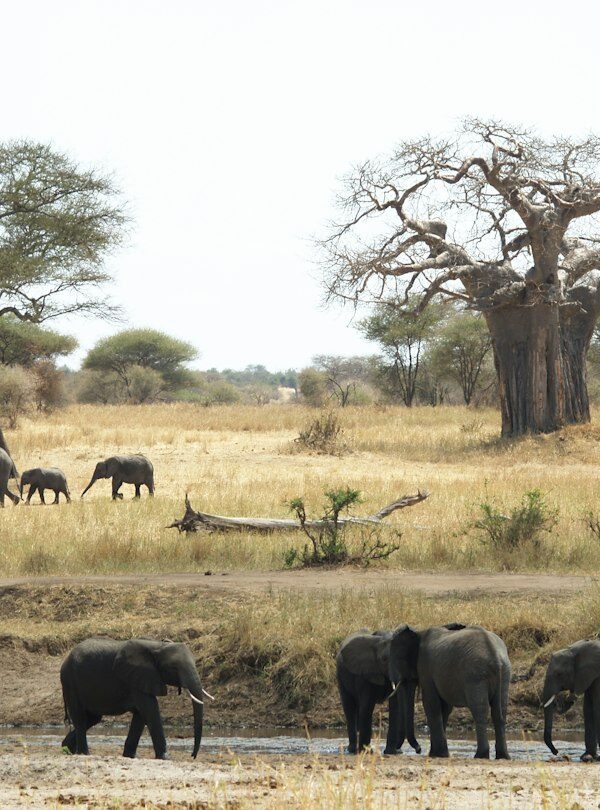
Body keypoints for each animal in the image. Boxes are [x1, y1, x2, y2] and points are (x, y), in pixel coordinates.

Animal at [60, 637, 211, 759]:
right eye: (174, 668)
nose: (193, 756)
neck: (158, 646)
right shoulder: (136, 678)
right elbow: (150, 709)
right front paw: (165, 758)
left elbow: (141, 715)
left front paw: (130, 756)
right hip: (70, 681)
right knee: (80, 717)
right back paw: (83, 753)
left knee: (92, 718)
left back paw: (67, 748)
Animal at [389, 623, 511, 759]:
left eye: (398, 659)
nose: (419, 750)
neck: (418, 632)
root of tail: (495, 657)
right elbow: (445, 708)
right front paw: (437, 753)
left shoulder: (425, 667)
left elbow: (431, 704)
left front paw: (438, 754)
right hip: (505, 673)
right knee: (500, 710)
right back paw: (503, 756)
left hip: (475, 675)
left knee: (480, 709)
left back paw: (480, 755)